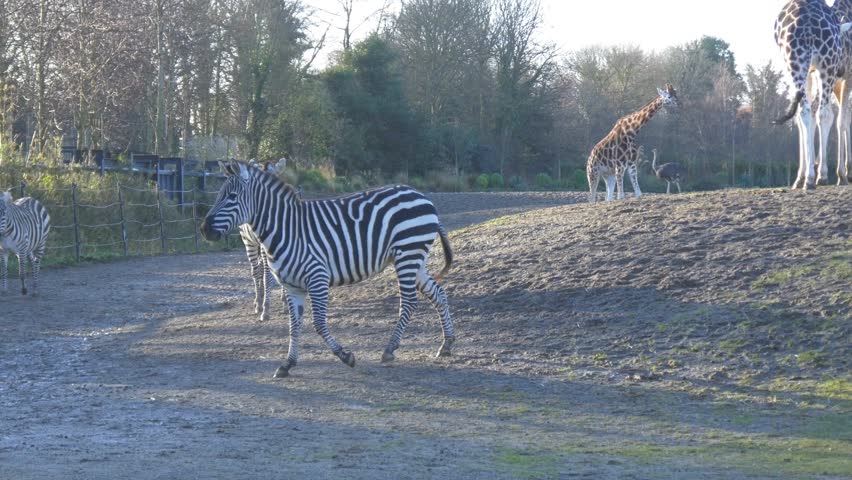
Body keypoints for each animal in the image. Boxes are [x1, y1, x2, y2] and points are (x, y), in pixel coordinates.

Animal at [200, 161, 454, 378]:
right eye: (220, 195)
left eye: (232, 197)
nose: (203, 230)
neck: (286, 229)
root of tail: (421, 196)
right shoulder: (292, 286)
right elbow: (294, 325)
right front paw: (287, 364)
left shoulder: (317, 278)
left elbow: (319, 324)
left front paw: (346, 356)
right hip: (415, 258)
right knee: (438, 293)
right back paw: (447, 344)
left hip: (407, 253)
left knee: (409, 301)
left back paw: (390, 349)